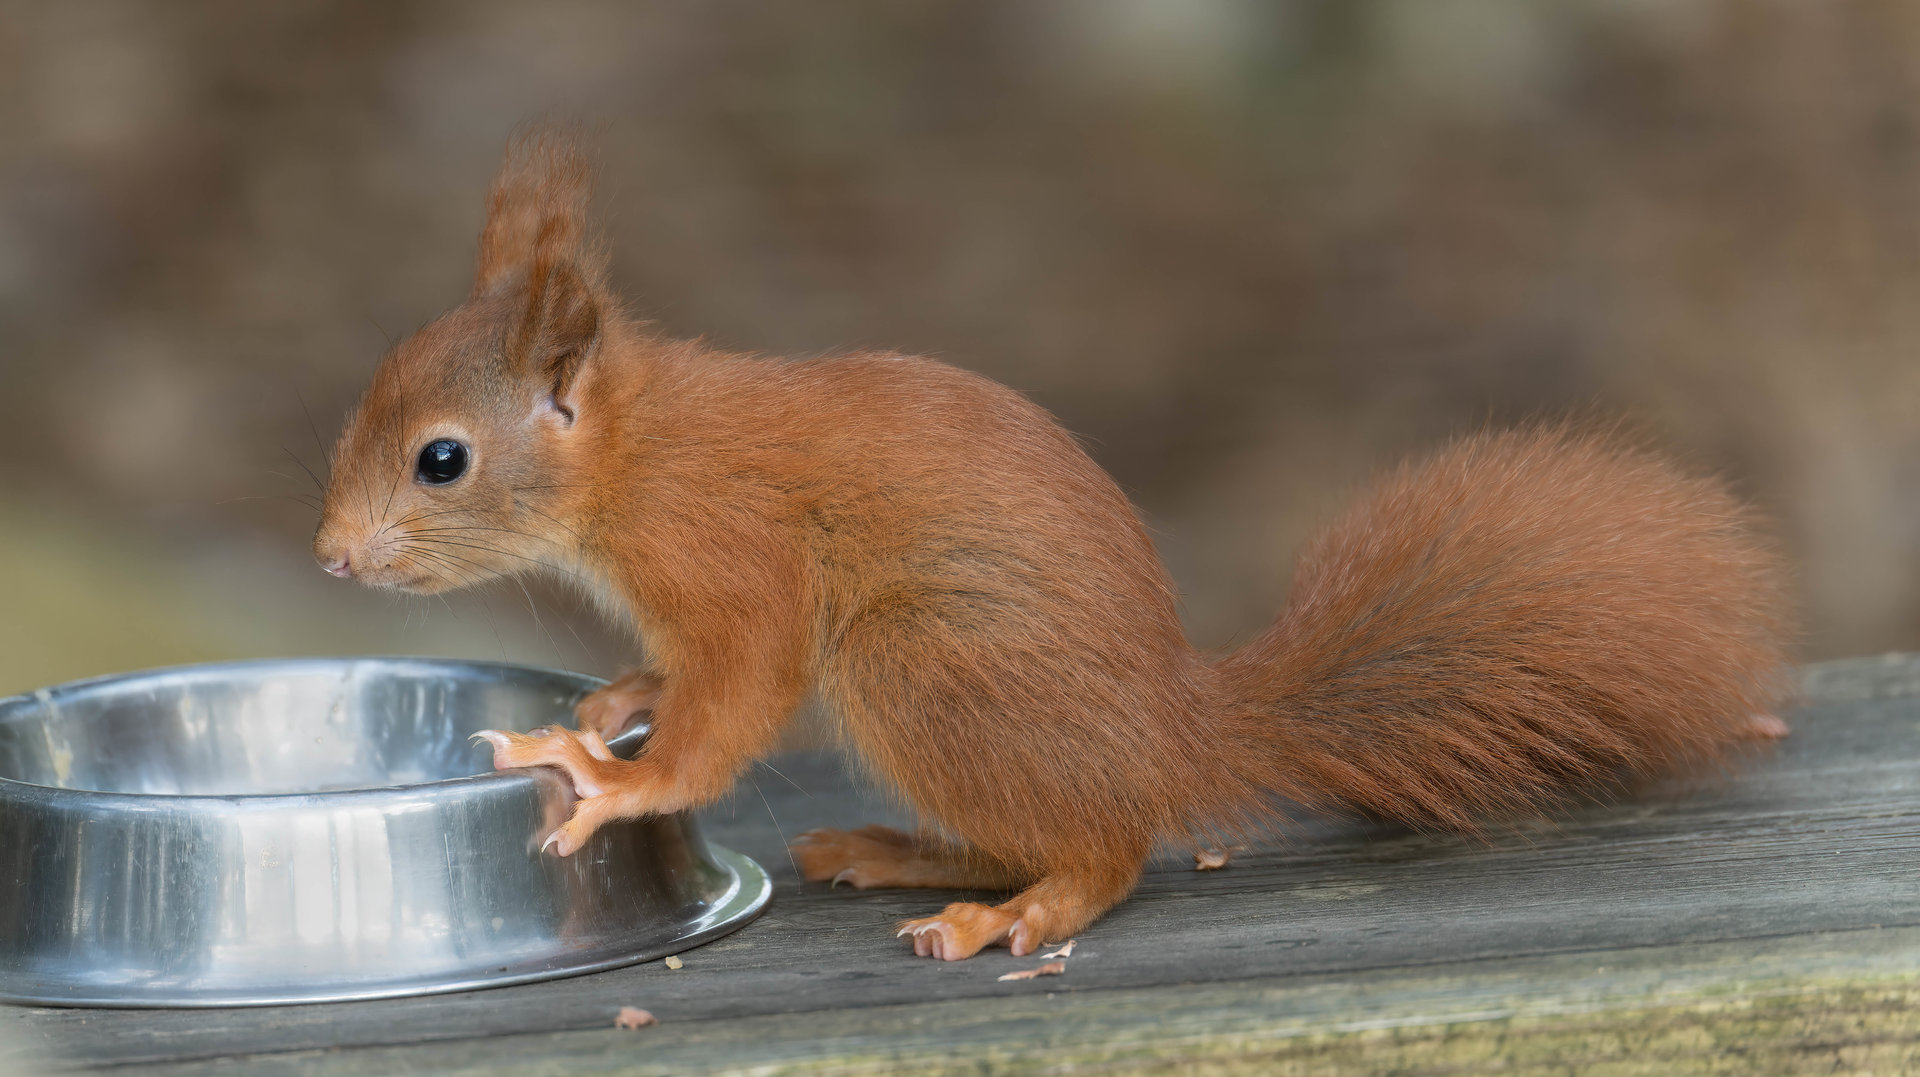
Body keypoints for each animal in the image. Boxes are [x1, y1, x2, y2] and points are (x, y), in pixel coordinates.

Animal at [313, 129, 1793, 962]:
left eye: (441, 459)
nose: (331, 558)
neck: (635, 460)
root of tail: (1173, 737)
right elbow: (666, 680)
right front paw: (604, 706)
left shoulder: (729, 562)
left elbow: (732, 700)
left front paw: (617, 776)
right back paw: (914, 855)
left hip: (924, 667)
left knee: (1104, 850)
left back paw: (1019, 911)